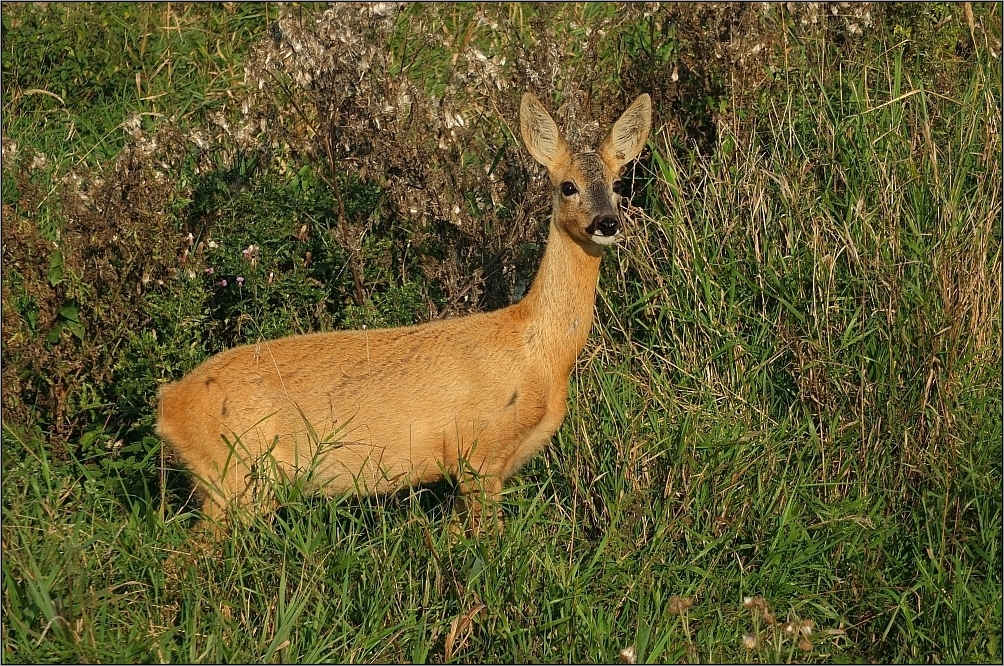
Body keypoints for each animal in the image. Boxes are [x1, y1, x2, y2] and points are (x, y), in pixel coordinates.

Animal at [158, 91, 650, 534]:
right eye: (568, 186)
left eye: (617, 184)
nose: (607, 223)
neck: (539, 352)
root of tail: (169, 404)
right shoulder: (477, 453)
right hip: (236, 478)